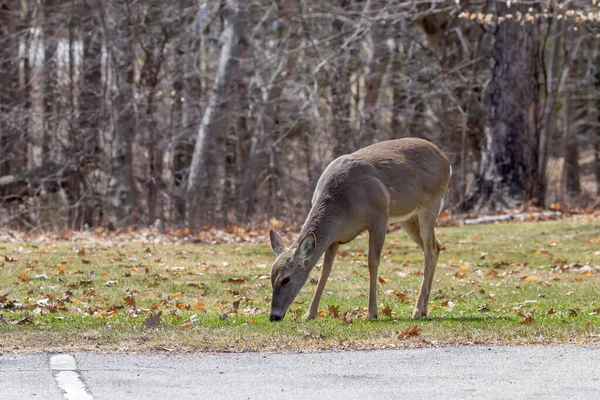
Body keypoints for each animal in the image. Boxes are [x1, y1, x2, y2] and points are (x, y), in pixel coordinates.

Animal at [268, 138, 450, 322]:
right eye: (271, 277)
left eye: (285, 279)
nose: (274, 315)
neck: (343, 206)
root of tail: (445, 159)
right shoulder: (334, 237)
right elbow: (325, 270)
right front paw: (309, 314)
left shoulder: (379, 218)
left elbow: (372, 262)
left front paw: (371, 313)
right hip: (407, 217)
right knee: (436, 246)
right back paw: (424, 308)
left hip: (431, 203)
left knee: (430, 249)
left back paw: (417, 310)